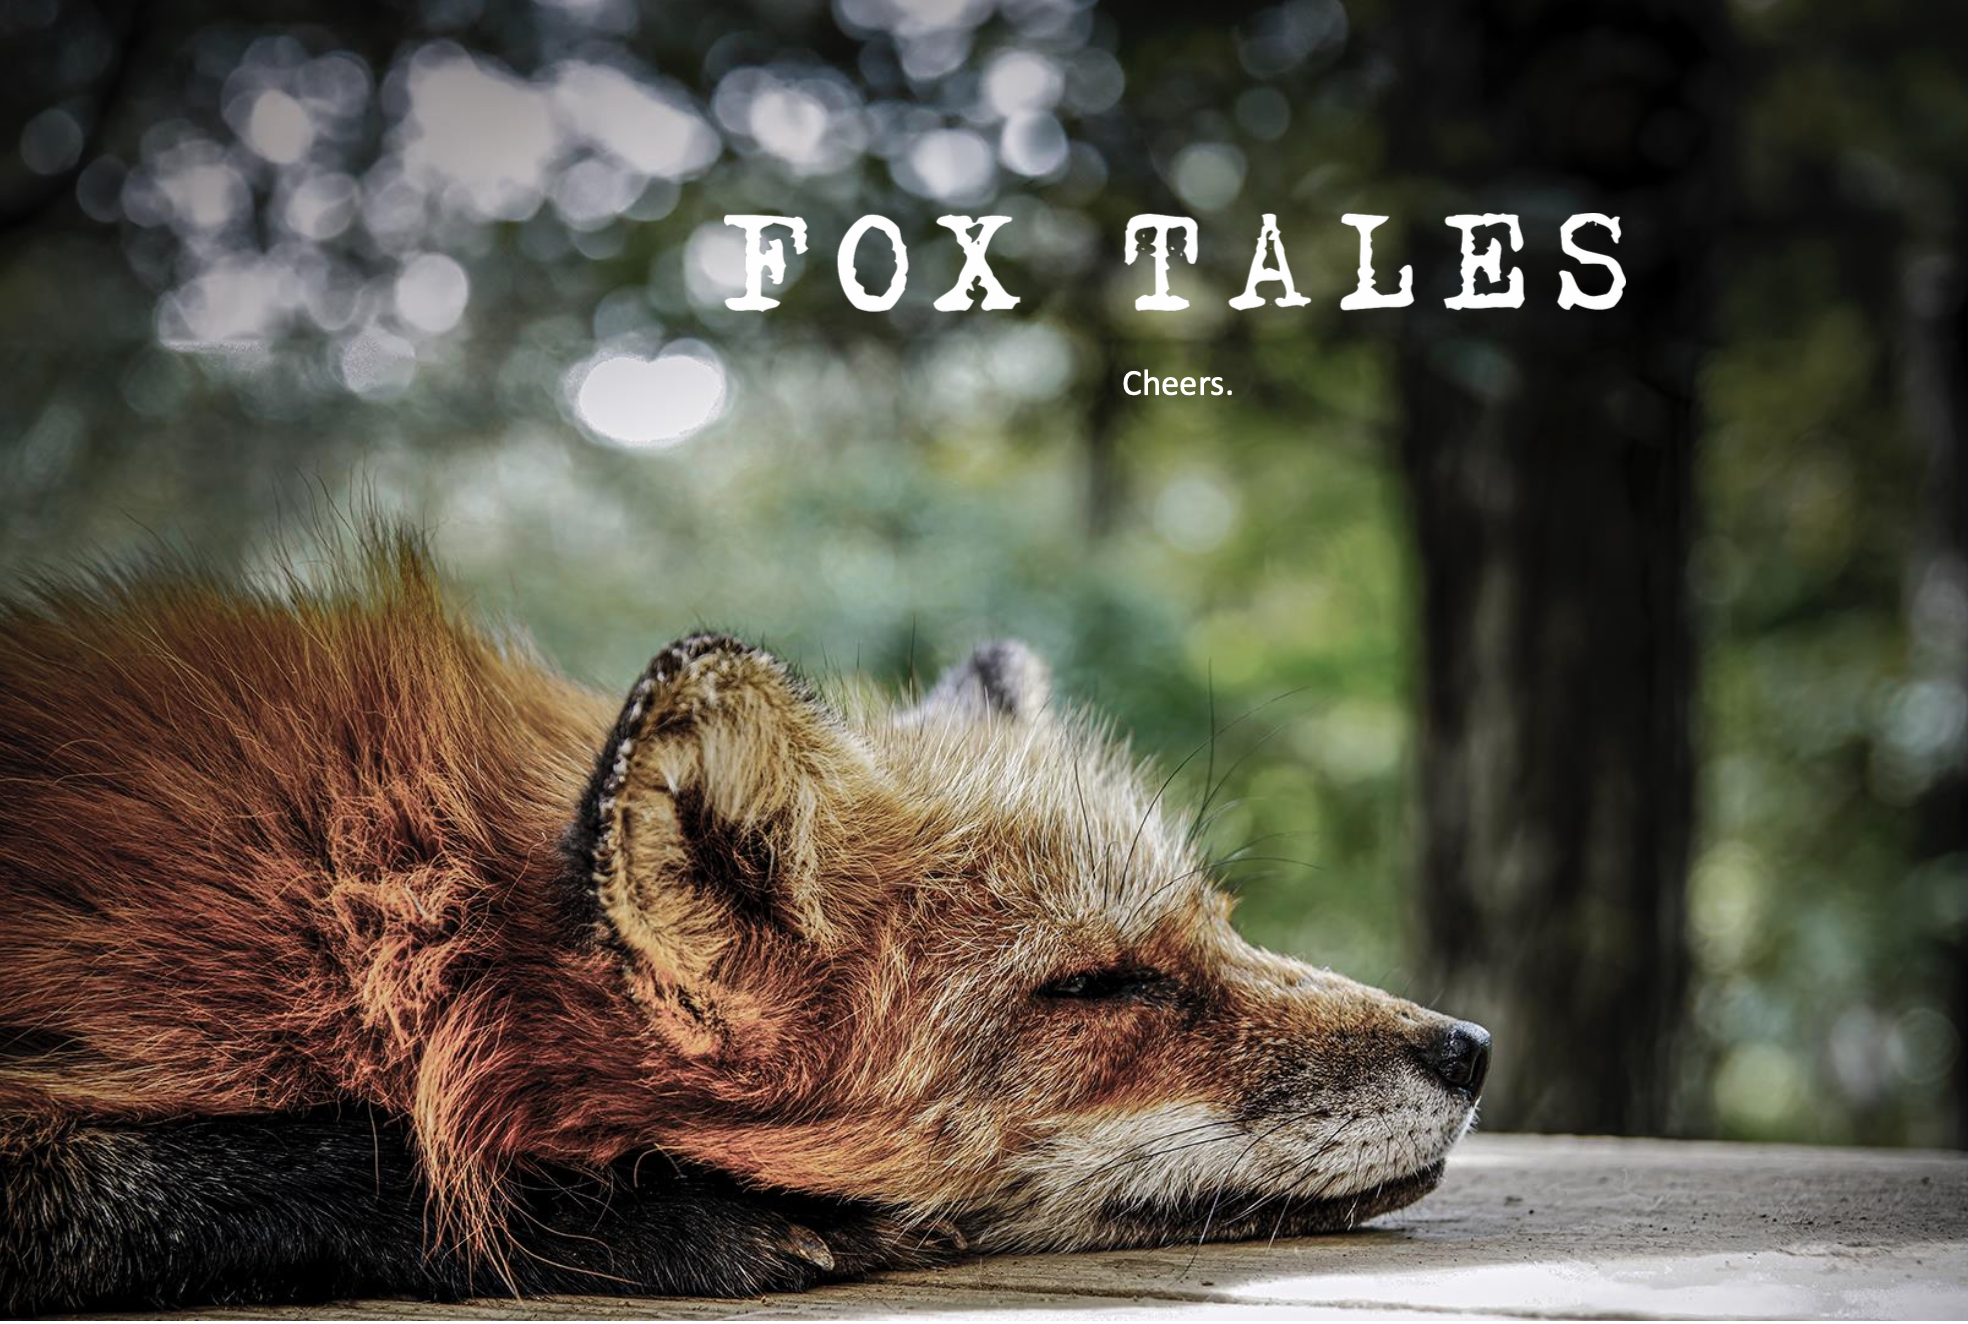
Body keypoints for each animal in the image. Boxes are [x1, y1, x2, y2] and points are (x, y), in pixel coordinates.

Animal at [0, 531, 1490, 1314]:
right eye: (1103, 987)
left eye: (1223, 927)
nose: (1471, 1049)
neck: (364, 916)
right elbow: (355, 1159)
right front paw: (678, 1213)